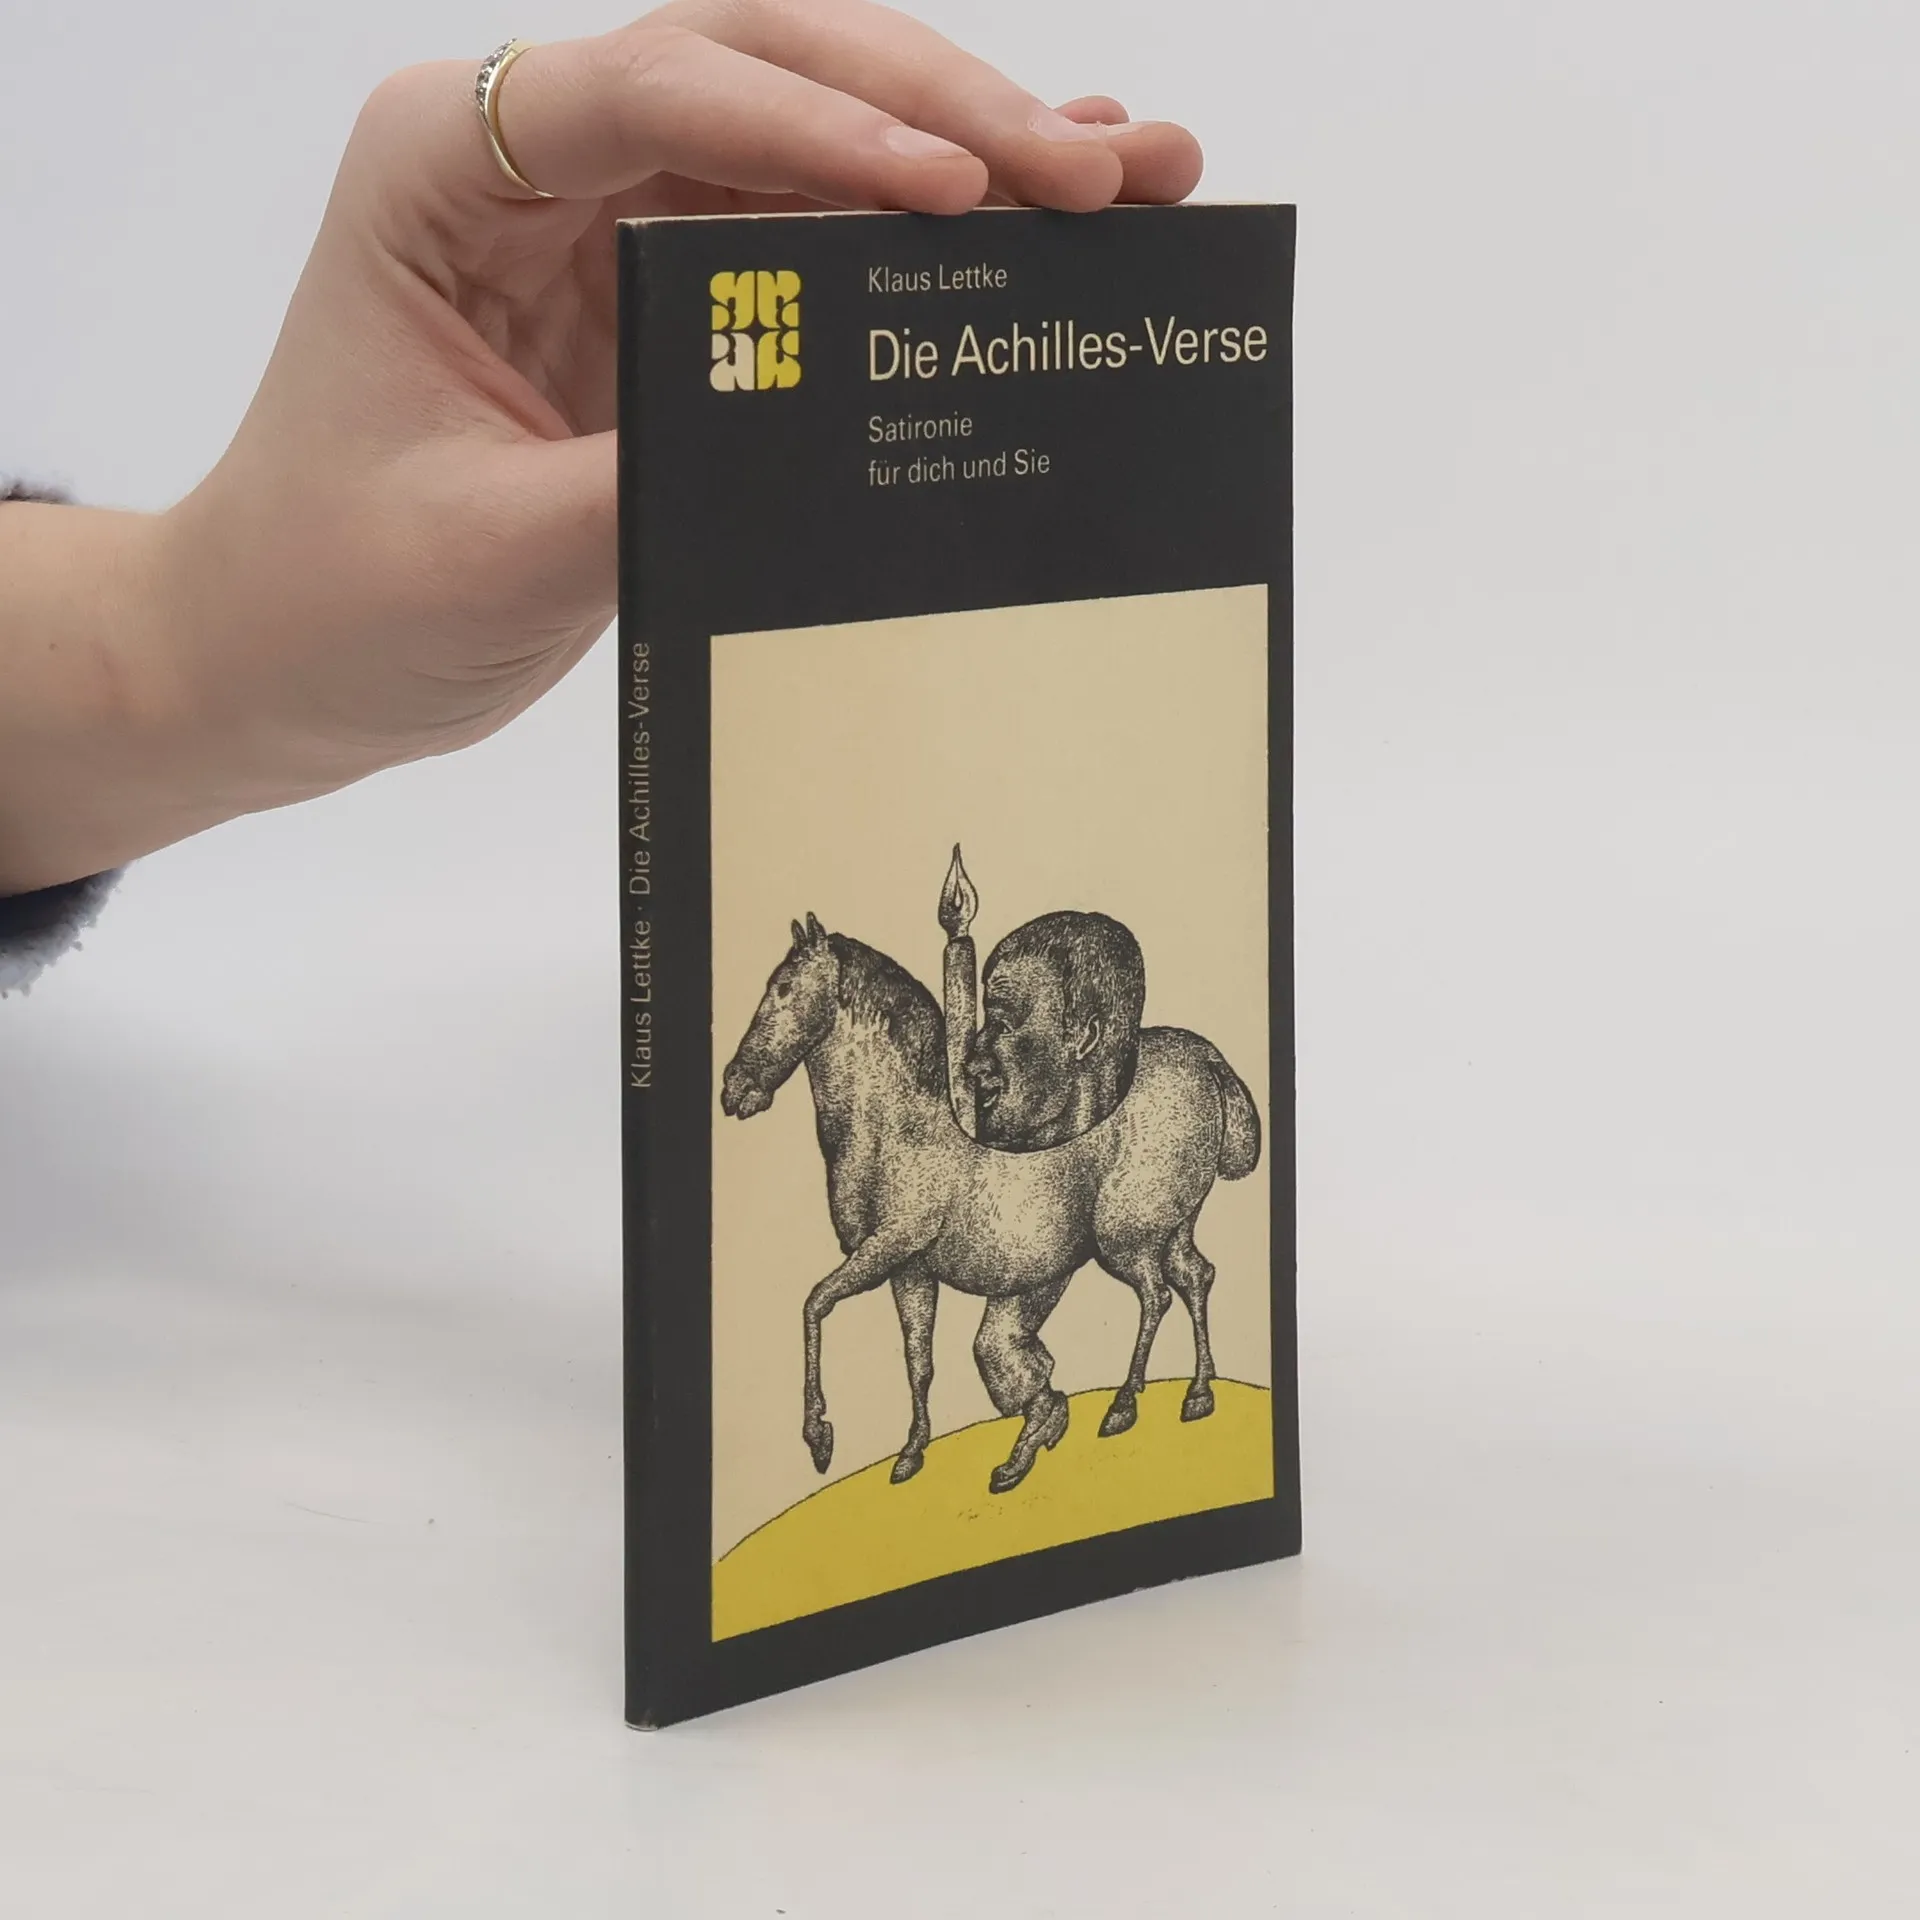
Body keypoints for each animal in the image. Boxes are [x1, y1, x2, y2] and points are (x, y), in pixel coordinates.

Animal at [720, 913, 1263, 1495]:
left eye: (782, 988)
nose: (734, 1090)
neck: (896, 1127)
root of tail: (1207, 1060)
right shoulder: (909, 1270)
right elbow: (918, 1360)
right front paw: (912, 1453)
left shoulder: (886, 1247)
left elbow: (814, 1304)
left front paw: (820, 1438)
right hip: (1172, 1226)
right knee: (1193, 1277)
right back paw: (1197, 1394)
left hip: (1126, 1241)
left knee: (1156, 1296)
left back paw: (1122, 1407)